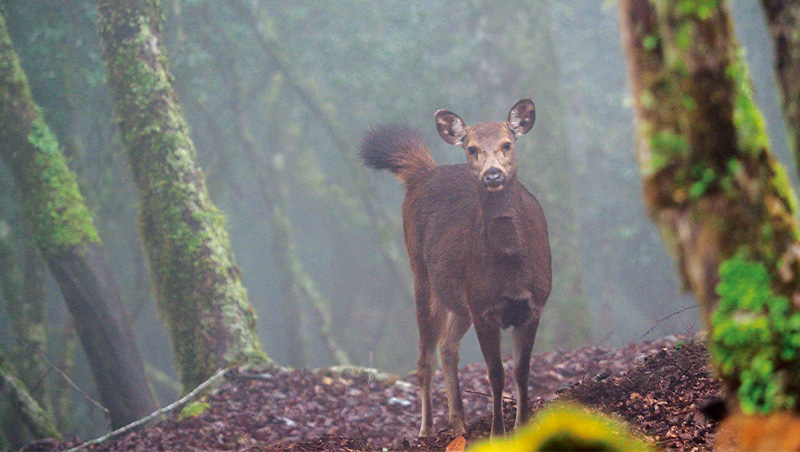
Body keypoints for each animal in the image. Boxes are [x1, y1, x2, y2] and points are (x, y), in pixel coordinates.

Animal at [360, 98, 552, 434]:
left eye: (507, 143)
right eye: (471, 148)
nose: (492, 174)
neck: (512, 264)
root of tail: (424, 173)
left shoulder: (533, 305)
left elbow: (522, 371)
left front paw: (523, 426)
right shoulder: (484, 307)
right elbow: (495, 373)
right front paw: (497, 432)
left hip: (459, 298)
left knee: (448, 346)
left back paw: (460, 421)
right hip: (422, 275)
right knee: (425, 358)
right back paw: (426, 429)